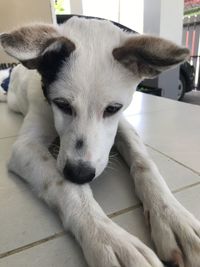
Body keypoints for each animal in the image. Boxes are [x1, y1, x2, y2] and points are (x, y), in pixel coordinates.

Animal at [0, 16, 199, 267]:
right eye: (62, 104)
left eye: (112, 108)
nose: (79, 174)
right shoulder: (26, 147)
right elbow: (65, 185)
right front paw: (109, 238)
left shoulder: (121, 124)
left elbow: (145, 162)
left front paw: (173, 216)